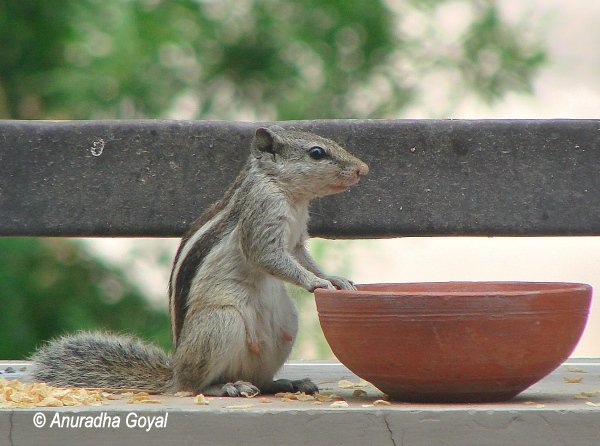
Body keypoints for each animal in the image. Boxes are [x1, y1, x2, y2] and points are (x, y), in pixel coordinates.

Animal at [30, 123, 368, 396]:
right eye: (317, 152)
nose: (363, 169)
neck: (289, 194)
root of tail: (175, 373)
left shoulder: (296, 240)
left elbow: (301, 257)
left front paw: (333, 278)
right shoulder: (262, 216)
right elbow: (267, 256)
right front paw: (316, 282)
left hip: (286, 325)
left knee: (258, 379)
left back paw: (285, 383)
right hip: (220, 322)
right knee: (195, 386)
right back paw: (225, 387)